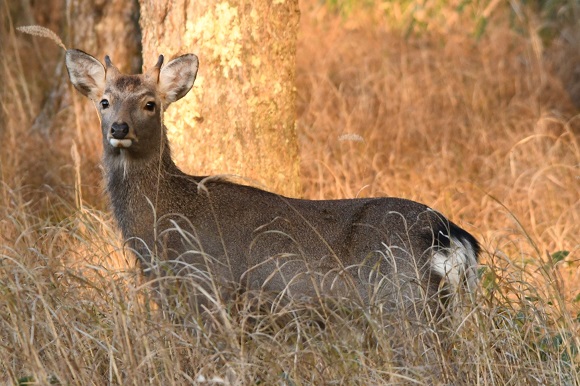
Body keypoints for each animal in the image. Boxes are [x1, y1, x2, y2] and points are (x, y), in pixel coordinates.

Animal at [64, 49, 480, 322]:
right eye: (104, 101)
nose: (119, 128)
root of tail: (449, 235)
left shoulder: (209, 291)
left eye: (150, 103)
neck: (163, 228)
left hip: (401, 300)